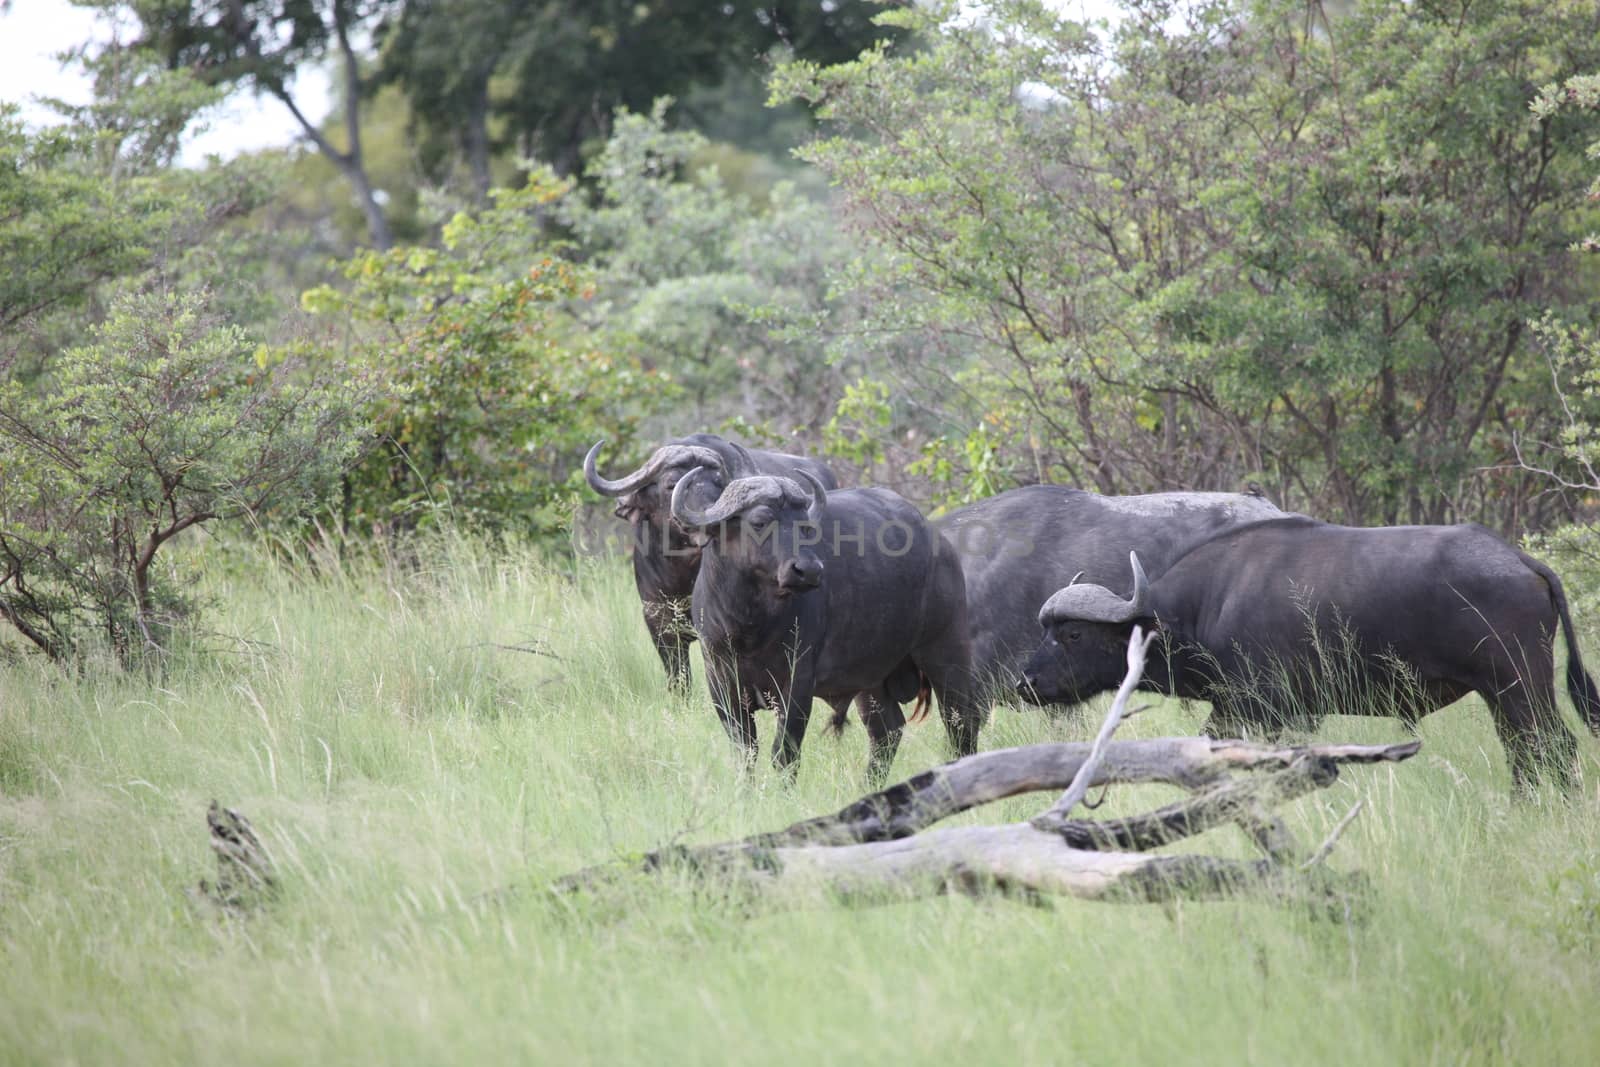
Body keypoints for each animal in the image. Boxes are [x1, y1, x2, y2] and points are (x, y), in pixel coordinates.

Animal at [585, 435, 838, 694]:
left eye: (718, 485)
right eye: (671, 484)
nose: (701, 517)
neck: (681, 574)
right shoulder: (660, 624)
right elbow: (679, 680)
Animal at [668, 467, 979, 783]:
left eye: (805, 527)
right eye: (759, 522)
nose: (808, 570)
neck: (750, 626)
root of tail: (940, 545)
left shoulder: (798, 681)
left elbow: (784, 752)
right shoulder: (720, 681)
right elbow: (745, 751)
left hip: (946, 653)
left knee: (961, 723)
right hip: (870, 677)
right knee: (887, 731)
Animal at [1024, 518, 1600, 793]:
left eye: (1071, 634)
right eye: (1047, 630)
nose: (1024, 682)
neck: (1209, 601)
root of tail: (1521, 561)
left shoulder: (1257, 707)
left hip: (1519, 686)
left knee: (1550, 748)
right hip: (1502, 695)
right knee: (1524, 752)